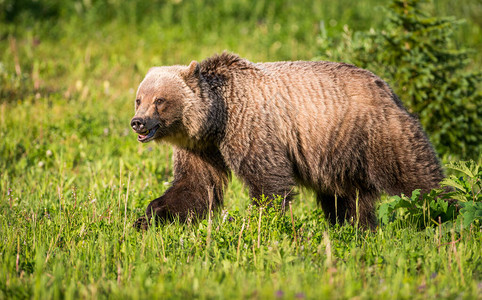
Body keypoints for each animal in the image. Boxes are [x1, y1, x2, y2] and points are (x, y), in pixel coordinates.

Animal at [131, 52, 444, 230]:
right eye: (139, 99)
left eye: (159, 100)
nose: (138, 122)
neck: (216, 120)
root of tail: (387, 88)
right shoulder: (202, 148)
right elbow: (195, 186)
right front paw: (148, 217)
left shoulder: (250, 127)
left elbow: (268, 182)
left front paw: (259, 223)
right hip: (340, 153)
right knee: (349, 199)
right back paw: (354, 230)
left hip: (376, 134)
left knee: (416, 178)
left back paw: (445, 213)